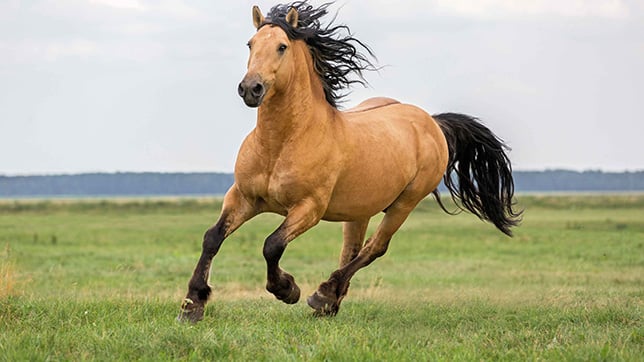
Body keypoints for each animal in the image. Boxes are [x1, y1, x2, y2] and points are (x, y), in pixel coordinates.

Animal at [179, 0, 520, 322]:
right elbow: (212, 238)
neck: (282, 143)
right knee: (352, 250)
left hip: (404, 203)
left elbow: (271, 244)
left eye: (282, 46)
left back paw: (322, 295)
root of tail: (431, 122)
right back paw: (329, 302)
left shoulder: (309, 208)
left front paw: (287, 289)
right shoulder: (243, 197)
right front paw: (192, 304)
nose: (251, 88)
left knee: (374, 248)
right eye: (250, 44)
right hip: (360, 210)